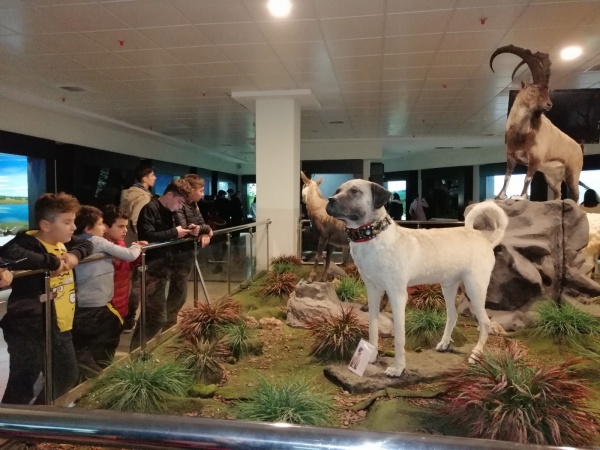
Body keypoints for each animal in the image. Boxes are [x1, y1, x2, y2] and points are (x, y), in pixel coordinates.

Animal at [326, 179, 508, 377]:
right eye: (337, 190)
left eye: (355, 191)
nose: (330, 200)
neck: (374, 237)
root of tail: (486, 240)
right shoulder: (373, 291)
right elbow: (372, 327)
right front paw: (371, 355)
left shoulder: (397, 295)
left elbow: (399, 337)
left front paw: (398, 369)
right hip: (448, 286)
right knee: (452, 315)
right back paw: (444, 344)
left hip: (475, 288)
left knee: (485, 323)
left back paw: (476, 354)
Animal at [490, 45, 583, 201]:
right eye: (533, 90)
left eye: (547, 91)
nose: (549, 104)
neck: (522, 133)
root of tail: (580, 148)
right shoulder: (511, 156)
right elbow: (507, 176)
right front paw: (500, 196)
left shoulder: (535, 159)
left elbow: (527, 178)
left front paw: (520, 197)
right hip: (551, 177)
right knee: (558, 194)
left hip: (572, 174)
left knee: (575, 196)